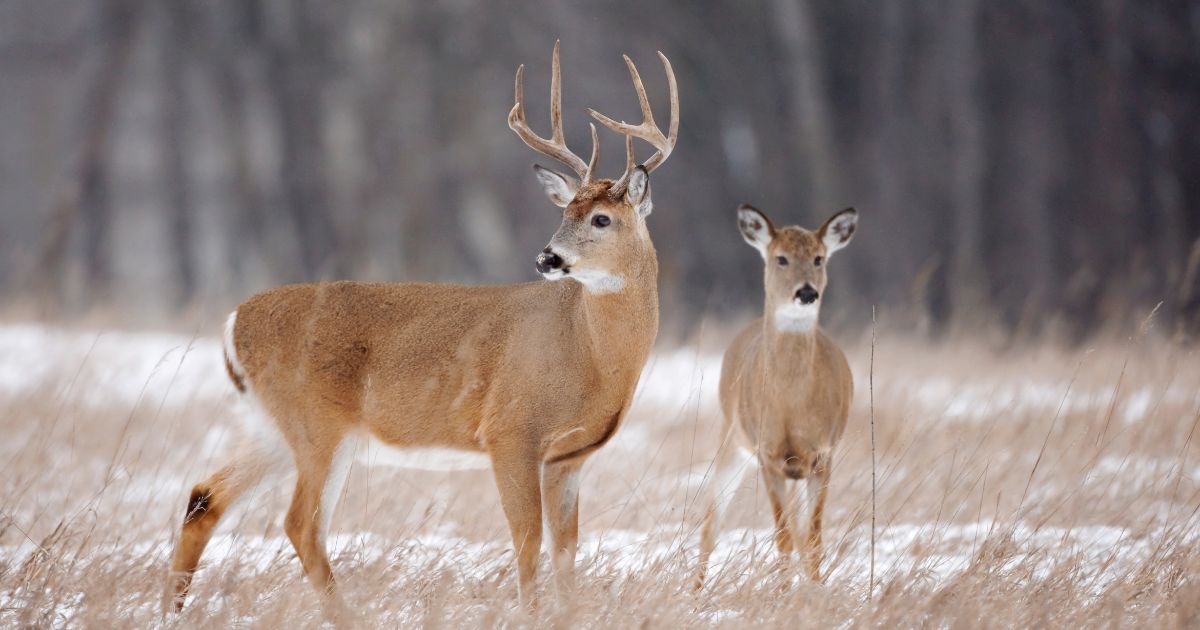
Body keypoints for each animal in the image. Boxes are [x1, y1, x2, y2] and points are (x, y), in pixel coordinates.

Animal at [165, 41, 681, 612]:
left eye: (601, 219)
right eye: (565, 212)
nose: (547, 257)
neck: (590, 355)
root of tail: (234, 322)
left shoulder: (569, 458)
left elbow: (566, 553)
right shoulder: (510, 431)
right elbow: (527, 544)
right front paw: (530, 613)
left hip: (269, 425)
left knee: (204, 497)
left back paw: (174, 612)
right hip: (317, 422)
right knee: (301, 523)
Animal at [700, 204, 859, 588]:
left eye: (819, 258)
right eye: (781, 258)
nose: (806, 293)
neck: (791, 405)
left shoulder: (822, 453)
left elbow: (812, 538)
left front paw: (813, 593)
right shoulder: (768, 454)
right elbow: (783, 537)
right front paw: (783, 594)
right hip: (731, 439)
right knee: (710, 527)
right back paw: (694, 592)